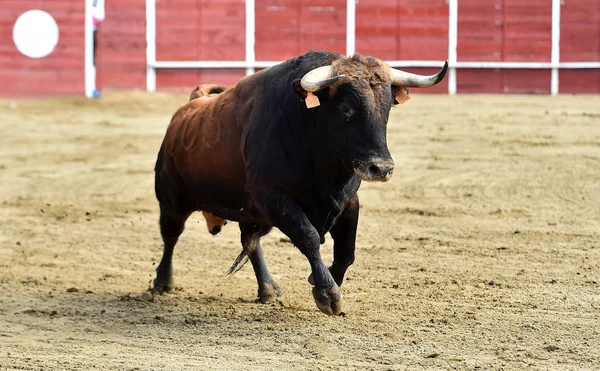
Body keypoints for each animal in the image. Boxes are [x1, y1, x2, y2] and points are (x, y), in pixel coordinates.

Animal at [152, 50, 448, 316]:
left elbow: (346, 251)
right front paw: (327, 293)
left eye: (387, 108)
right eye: (346, 108)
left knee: (250, 241)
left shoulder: (348, 202)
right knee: (171, 235)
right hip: (172, 200)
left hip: (252, 212)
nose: (381, 168)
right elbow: (309, 237)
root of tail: (193, 104)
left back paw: (268, 288)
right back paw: (163, 282)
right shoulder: (274, 197)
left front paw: (326, 279)